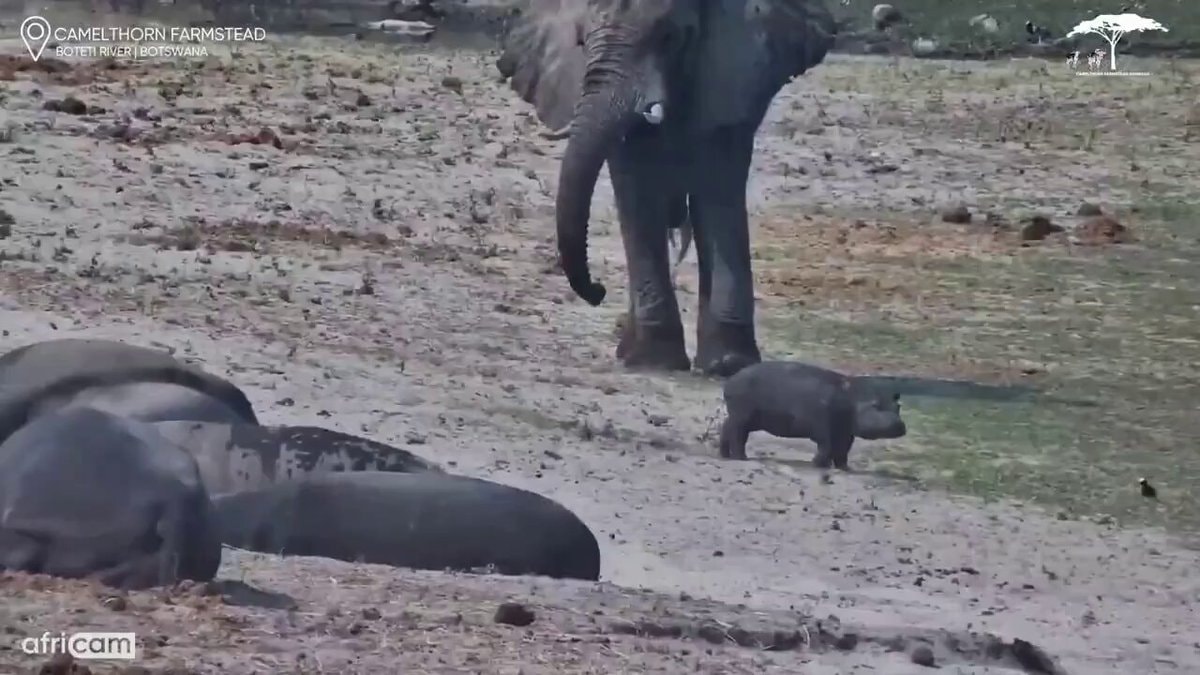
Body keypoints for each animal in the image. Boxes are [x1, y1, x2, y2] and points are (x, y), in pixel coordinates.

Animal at [497, 0, 835, 376]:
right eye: (581, 43)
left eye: (671, 39)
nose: (598, 290)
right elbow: (637, 191)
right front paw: (654, 360)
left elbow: (717, 188)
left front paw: (728, 364)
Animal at [719, 361, 907, 469]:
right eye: (876, 405)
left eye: (897, 405)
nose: (899, 424)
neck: (854, 398)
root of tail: (730, 381)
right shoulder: (825, 428)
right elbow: (827, 447)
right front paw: (819, 465)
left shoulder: (845, 433)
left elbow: (843, 450)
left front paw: (844, 468)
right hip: (742, 417)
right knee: (737, 436)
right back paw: (742, 458)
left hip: (744, 418)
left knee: (725, 429)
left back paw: (725, 455)